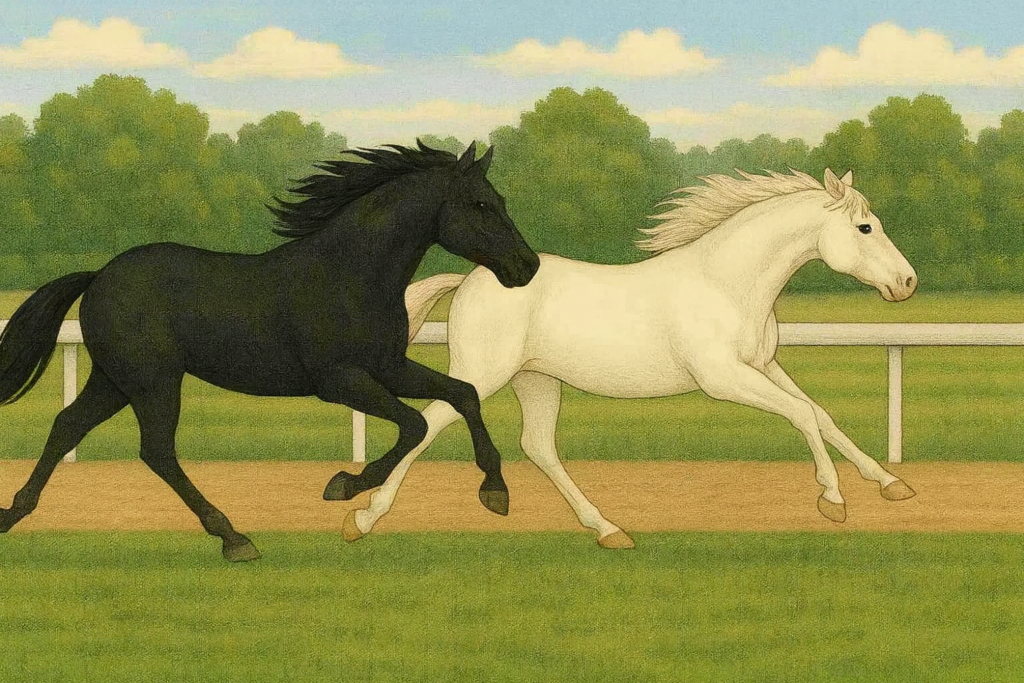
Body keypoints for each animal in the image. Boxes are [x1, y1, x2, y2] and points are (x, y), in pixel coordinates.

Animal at [0, 140, 539, 561]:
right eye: (480, 204)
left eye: (499, 199)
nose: (527, 265)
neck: (351, 274)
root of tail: (99, 276)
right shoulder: (339, 380)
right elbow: (415, 424)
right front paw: (346, 485)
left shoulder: (389, 367)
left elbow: (463, 393)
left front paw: (495, 490)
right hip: (153, 381)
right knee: (155, 450)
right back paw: (234, 537)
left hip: (116, 380)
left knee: (67, 426)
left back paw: (13, 513)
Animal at [337, 168, 919, 548]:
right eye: (866, 228)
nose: (907, 283)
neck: (726, 282)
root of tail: (471, 277)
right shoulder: (724, 378)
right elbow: (801, 415)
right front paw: (833, 501)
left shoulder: (764, 366)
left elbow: (820, 415)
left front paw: (892, 485)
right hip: (483, 374)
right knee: (430, 426)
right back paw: (361, 519)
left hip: (536, 380)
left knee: (538, 446)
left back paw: (609, 530)